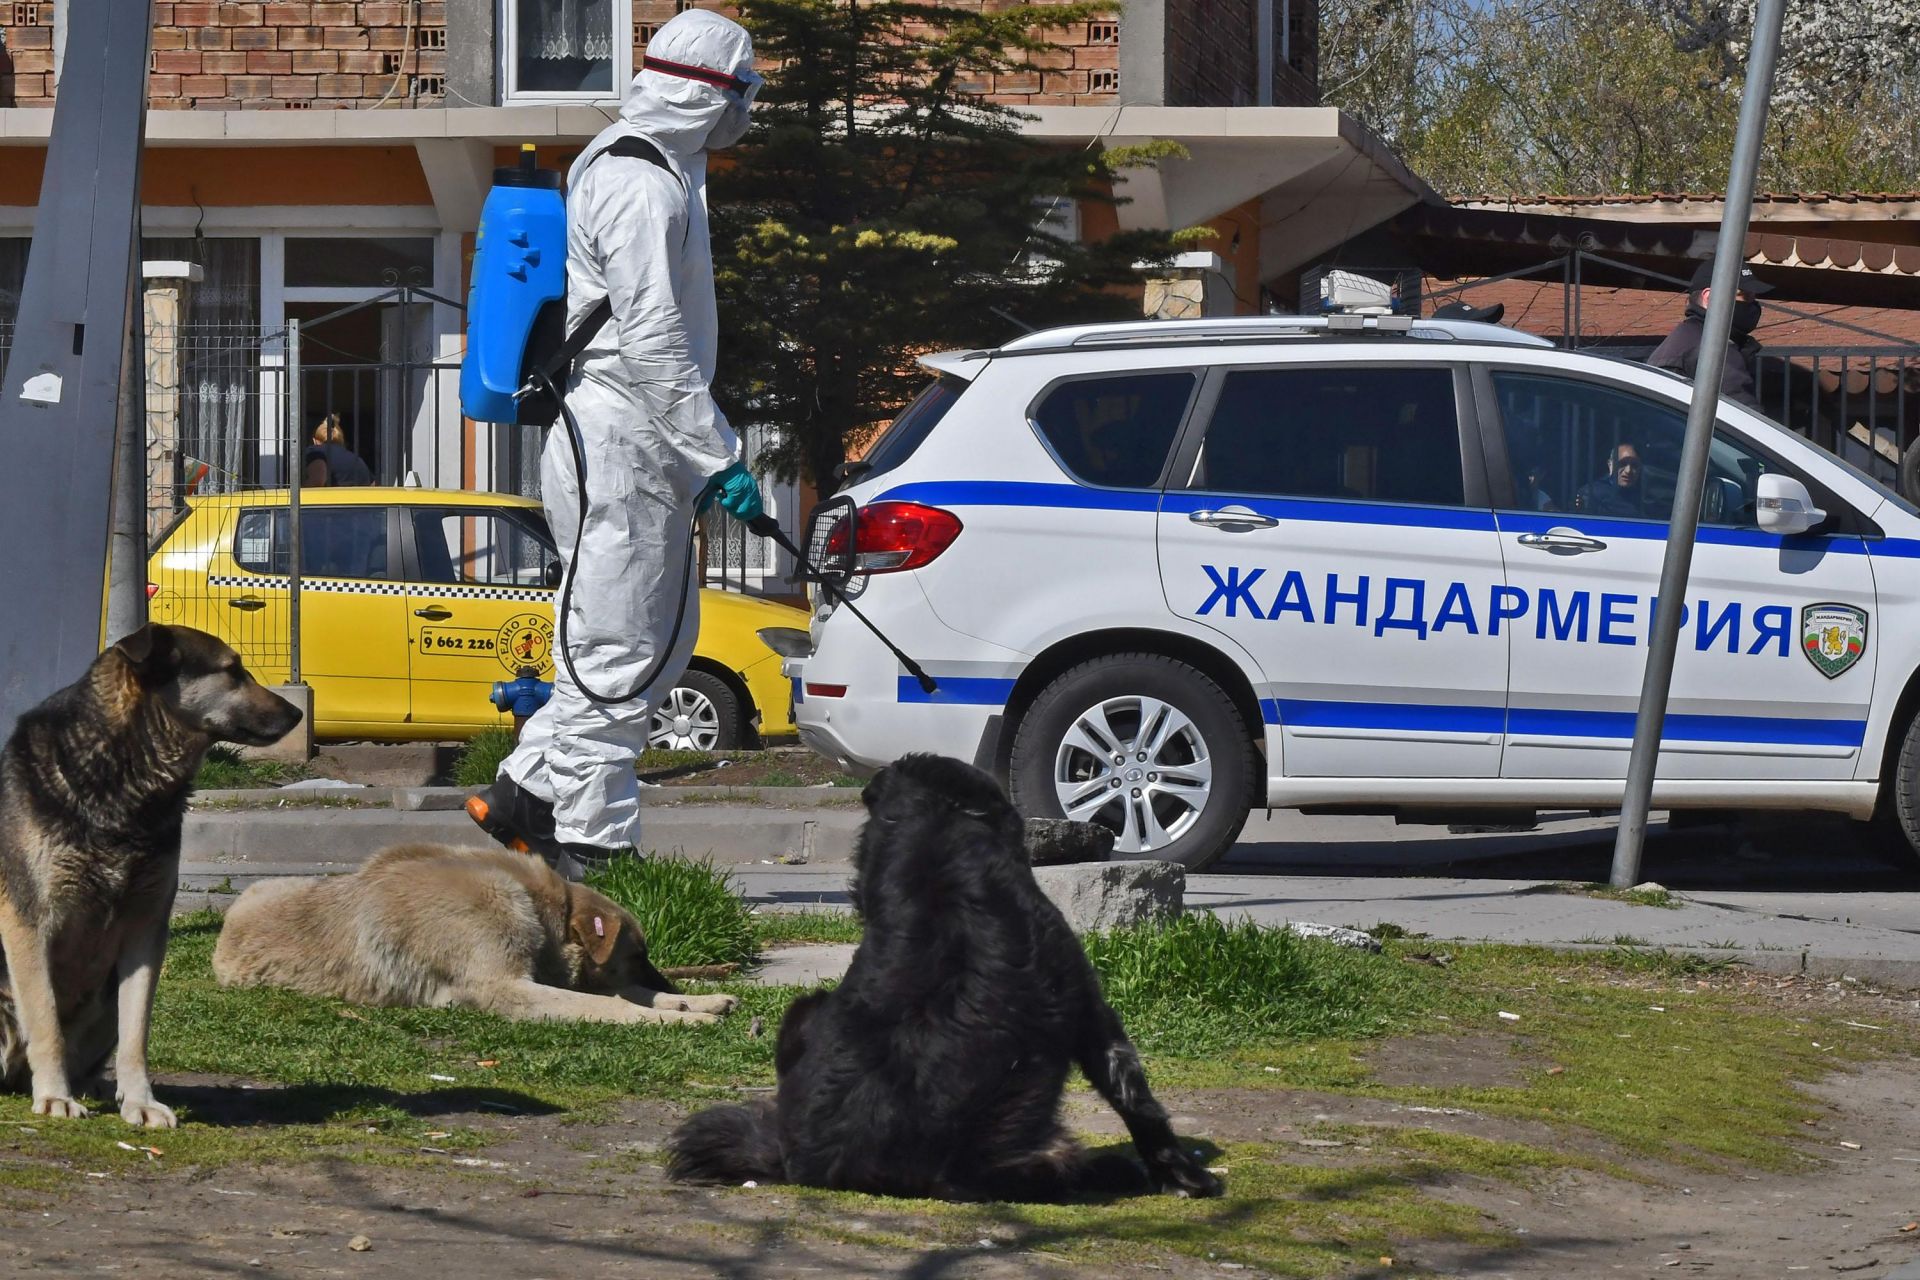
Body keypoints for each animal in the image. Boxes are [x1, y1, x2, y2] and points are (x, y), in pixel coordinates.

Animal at [214, 844, 737, 1028]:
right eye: (637, 954)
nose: (673, 983)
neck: (539, 905)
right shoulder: (505, 988)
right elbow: (614, 1005)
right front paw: (681, 1017)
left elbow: (627, 996)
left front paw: (695, 1002)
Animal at [668, 752, 1221, 1205]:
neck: (936, 841)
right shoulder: (1091, 1010)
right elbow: (1139, 1102)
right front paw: (1182, 1175)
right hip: (1038, 1157)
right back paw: (1112, 1169)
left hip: (804, 1008)